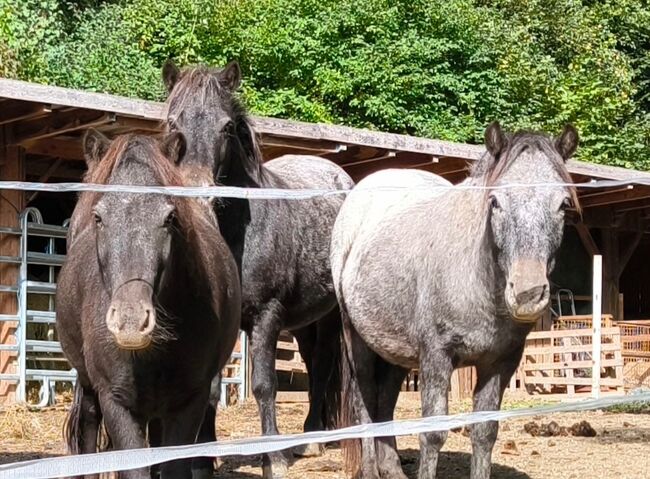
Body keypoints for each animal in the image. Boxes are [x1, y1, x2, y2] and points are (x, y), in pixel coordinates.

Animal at [56, 130, 241, 479]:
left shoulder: (189, 402)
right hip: (90, 388)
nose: (130, 323)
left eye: (169, 217)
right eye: (99, 217)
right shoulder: (116, 402)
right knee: (88, 425)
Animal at [162, 60, 353, 478]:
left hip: (329, 316)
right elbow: (211, 391)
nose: (198, 193)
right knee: (312, 361)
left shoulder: (266, 315)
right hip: (303, 321)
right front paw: (203, 459)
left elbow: (265, 385)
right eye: (172, 123)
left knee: (323, 364)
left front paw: (273, 460)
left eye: (225, 127)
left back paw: (312, 439)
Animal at [331, 122, 579, 479]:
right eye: (495, 202)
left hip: (395, 351)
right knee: (364, 402)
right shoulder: (437, 356)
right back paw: (369, 470)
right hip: (358, 339)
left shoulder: (500, 363)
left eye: (563, 204)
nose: (527, 294)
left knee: (385, 401)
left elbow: (485, 432)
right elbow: (433, 433)